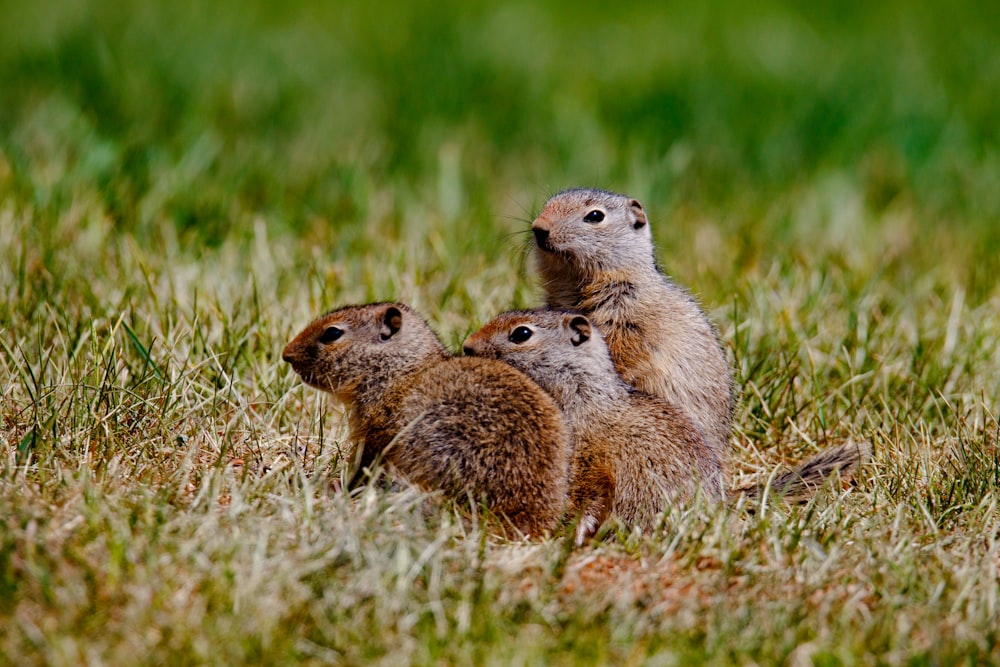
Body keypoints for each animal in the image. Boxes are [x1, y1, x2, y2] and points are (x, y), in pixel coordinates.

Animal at [468, 310, 868, 544]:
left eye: (521, 333)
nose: (467, 346)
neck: (581, 393)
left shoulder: (592, 457)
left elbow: (594, 495)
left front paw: (577, 534)